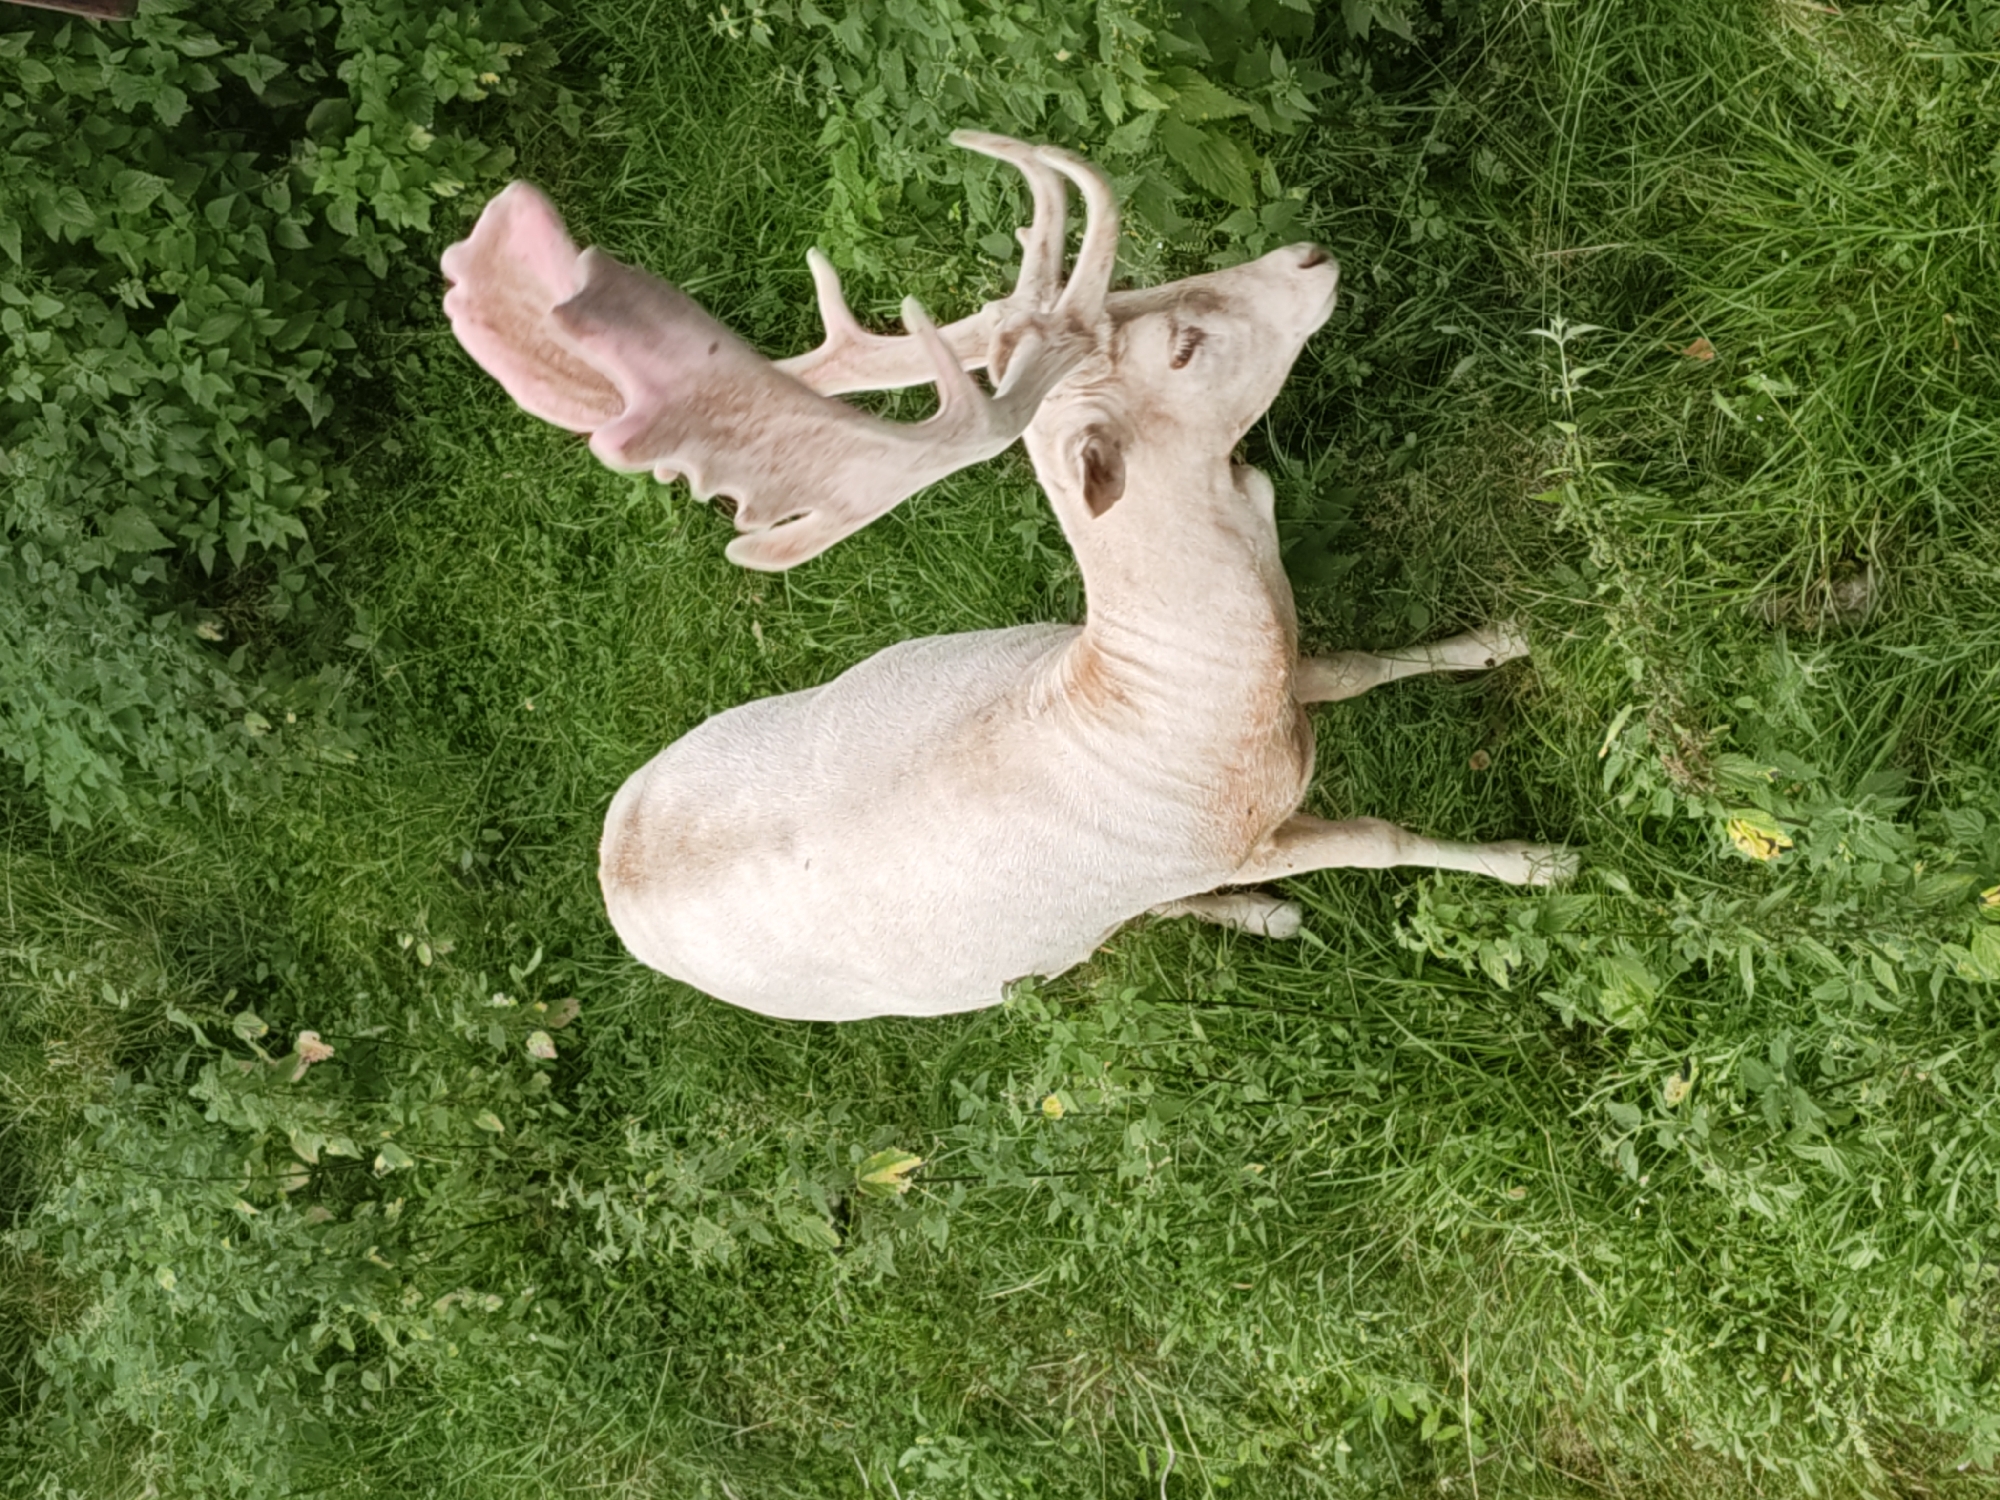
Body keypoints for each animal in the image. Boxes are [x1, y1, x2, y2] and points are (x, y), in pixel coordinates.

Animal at [441, 132, 1576, 1022]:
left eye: (1145, 293)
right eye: (1185, 344)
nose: (1309, 255)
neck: (1183, 706)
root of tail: (609, 870)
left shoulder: (1291, 682)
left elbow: (1364, 665)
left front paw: (1504, 635)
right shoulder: (1224, 843)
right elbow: (1383, 838)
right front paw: (1540, 862)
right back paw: (1266, 915)